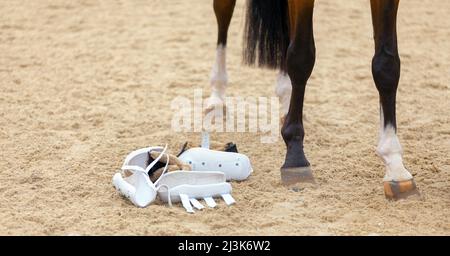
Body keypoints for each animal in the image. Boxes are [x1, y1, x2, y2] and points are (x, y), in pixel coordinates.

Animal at [204, 0, 418, 200]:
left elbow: (386, 66)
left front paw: (395, 167)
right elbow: (301, 57)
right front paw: (295, 157)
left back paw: (285, 99)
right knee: (223, 11)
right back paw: (217, 97)